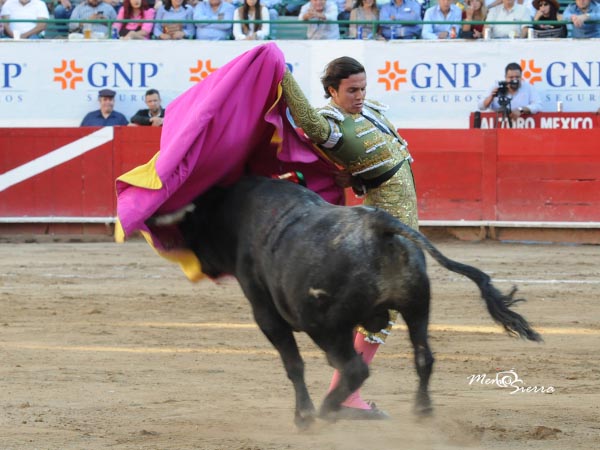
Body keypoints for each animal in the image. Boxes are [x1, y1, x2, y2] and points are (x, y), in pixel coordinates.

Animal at [149, 175, 540, 428]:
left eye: (192, 224)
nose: (200, 264)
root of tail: (381, 226)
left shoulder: (266, 313)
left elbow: (293, 365)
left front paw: (303, 416)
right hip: (417, 307)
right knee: (423, 357)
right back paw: (421, 410)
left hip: (326, 325)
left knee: (354, 367)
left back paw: (326, 410)